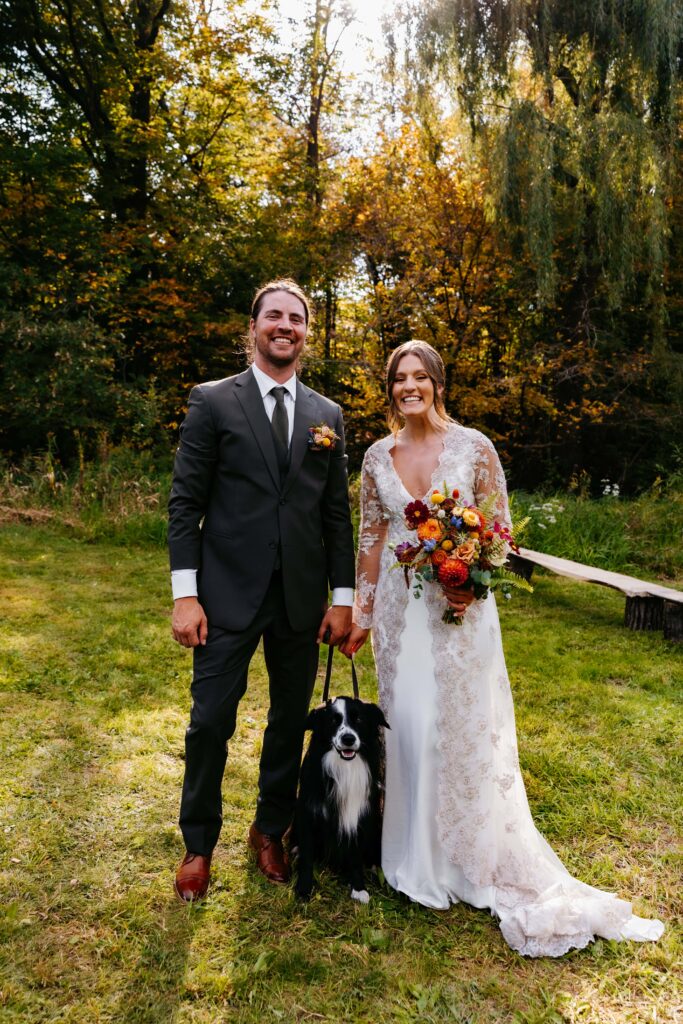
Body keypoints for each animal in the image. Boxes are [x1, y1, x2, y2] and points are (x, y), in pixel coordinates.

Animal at [292, 696, 389, 905]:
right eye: (333, 721)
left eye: (359, 719)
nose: (348, 739)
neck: (344, 767)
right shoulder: (308, 813)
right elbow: (307, 854)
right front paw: (303, 889)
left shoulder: (358, 816)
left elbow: (355, 855)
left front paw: (358, 887)